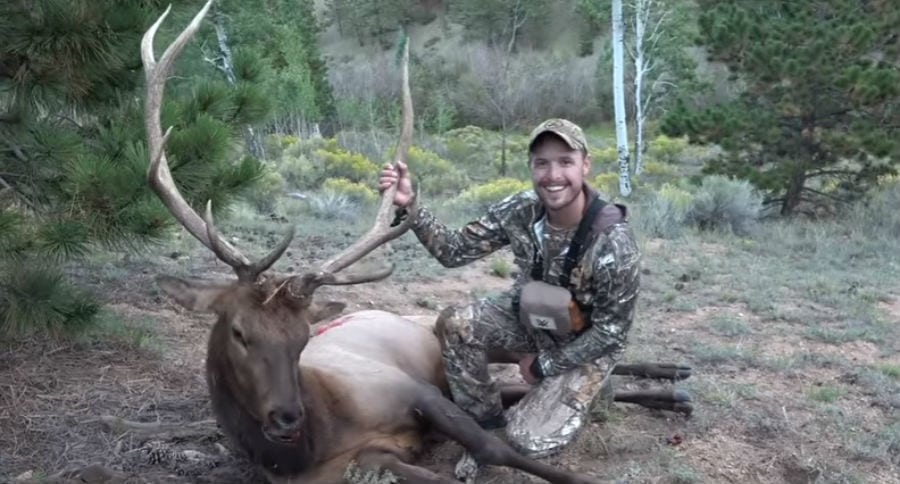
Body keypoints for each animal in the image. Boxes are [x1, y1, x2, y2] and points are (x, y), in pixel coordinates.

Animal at [140, 2, 691, 483]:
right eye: (239, 332)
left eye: (300, 339)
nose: (286, 417)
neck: (316, 440)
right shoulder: (371, 459)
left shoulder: (413, 391)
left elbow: (494, 445)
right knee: (552, 386)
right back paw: (670, 390)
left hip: (445, 339)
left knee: (568, 367)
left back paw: (673, 374)